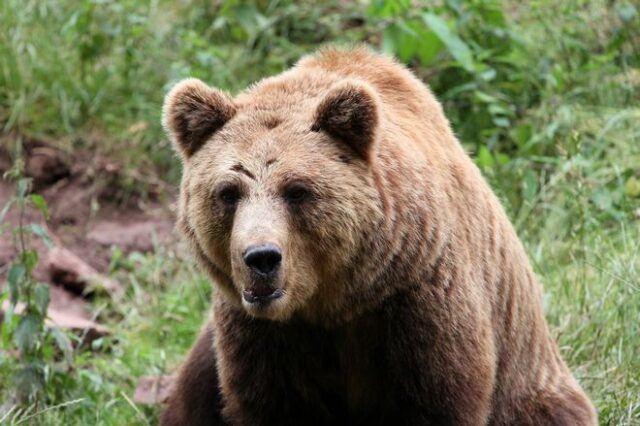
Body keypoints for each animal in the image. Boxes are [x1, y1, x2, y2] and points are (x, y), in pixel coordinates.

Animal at [159, 47, 596, 426]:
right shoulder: (262, 336)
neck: (333, 300)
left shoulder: (414, 298)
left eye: (297, 190)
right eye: (228, 192)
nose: (261, 257)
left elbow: (435, 399)